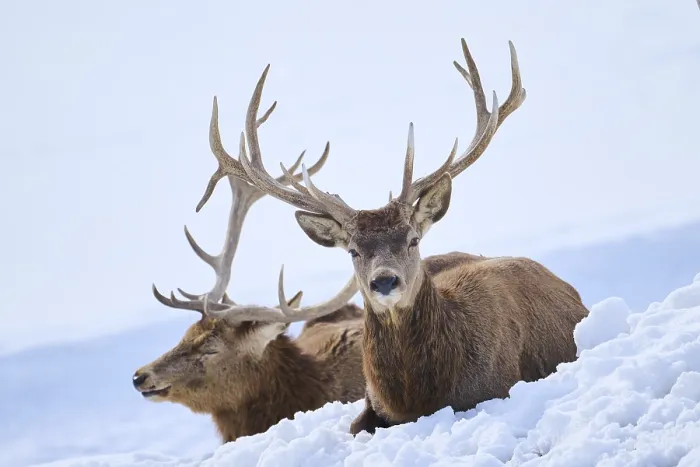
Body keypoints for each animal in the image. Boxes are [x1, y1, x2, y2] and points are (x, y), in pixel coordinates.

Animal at [198, 36, 591, 436]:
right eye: (353, 251)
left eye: (413, 239)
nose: (384, 281)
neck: (416, 397)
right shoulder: (370, 401)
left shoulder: (497, 386)